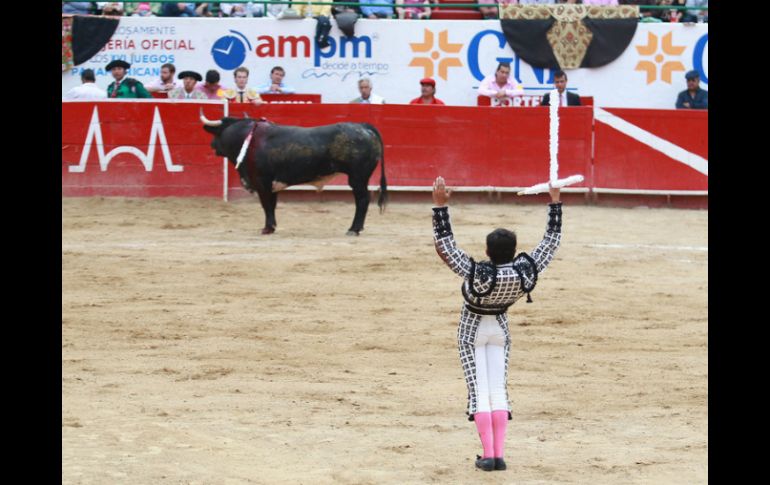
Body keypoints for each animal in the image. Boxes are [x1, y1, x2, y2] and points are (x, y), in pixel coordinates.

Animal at [201, 113, 388, 234]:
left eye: (218, 133)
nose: (211, 145)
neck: (249, 139)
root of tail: (363, 126)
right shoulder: (271, 184)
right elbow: (272, 205)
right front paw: (272, 227)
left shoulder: (262, 182)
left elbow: (266, 205)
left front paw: (267, 228)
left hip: (357, 177)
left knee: (362, 200)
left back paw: (353, 229)